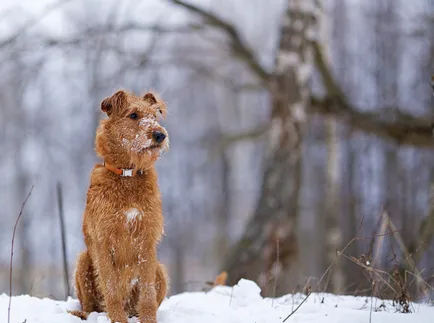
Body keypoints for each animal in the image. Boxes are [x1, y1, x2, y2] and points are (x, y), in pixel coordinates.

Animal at [71, 90, 170, 323]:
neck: (127, 177)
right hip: (82, 261)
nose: (159, 135)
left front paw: (149, 319)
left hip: (160, 269)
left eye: (155, 116)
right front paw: (117, 319)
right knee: (89, 307)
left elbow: (147, 292)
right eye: (133, 115)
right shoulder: (103, 241)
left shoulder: (147, 239)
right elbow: (110, 288)